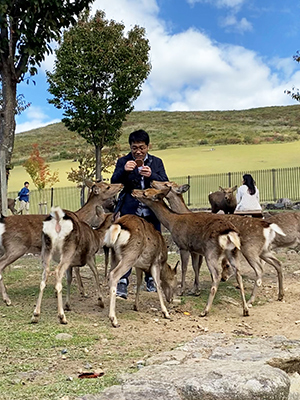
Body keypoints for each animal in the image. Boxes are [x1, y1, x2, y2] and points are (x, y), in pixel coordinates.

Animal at [132, 188, 250, 318]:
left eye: (145, 193)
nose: (133, 191)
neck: (172, 222)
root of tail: (230, 233)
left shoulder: (183, 246)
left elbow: (184, 268)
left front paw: (181, 291)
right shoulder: (195, 249)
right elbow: (195, 267)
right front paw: (195, 290)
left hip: (211, 252)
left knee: (217, 275)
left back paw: (205, 311)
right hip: (233, 252)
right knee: (238, 274)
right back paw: (245, 310)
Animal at [151, 180, 284, 304]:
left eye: (167, 184)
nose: (152, 182)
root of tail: (266, 226)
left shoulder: (193, 248)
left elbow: (191, 267)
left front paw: (190, 290)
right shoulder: (198, 250)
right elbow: (196, 267)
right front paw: (195, 289)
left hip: (250, 249)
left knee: (260, 268)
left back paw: (251, 299)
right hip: (262, 249)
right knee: (277, 263)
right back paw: (280, 295)